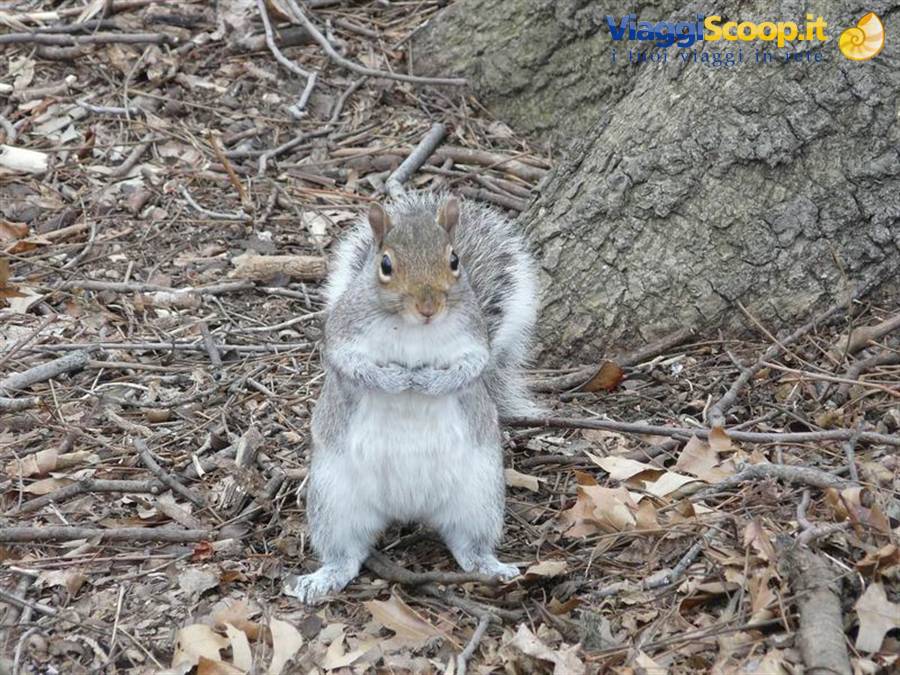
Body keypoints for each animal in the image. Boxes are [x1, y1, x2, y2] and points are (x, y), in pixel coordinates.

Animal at [283, 191, 540, 604]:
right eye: (385, 265)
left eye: (455, 260)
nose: (428, 307)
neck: (411, 327)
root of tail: (408, 508)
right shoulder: (342, 335)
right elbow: (350, 364)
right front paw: (395, 378)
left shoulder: (475, 340)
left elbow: (471, 368)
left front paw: (429, 382)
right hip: (334, 498)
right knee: (345, 553)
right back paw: (323, 579)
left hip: (479, 496)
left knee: (469, 544)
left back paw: (491, 567)